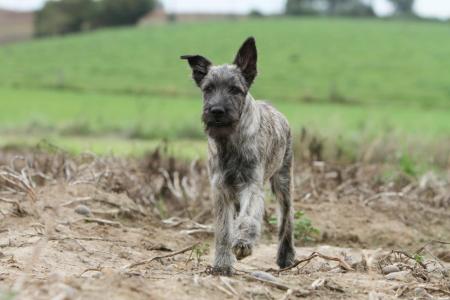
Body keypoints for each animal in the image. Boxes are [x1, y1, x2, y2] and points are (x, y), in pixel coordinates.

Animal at [181, 36, 298, 276]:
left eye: (235, 89)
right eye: (208, 89)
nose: (216, 111)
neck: (230, 142)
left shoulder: (251, 185)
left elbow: (248, 217)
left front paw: (243, 242)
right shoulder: (221, 190)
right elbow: (224, 230)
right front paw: (222, 264)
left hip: (283, 180)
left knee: (287, 218)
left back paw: (286, 256)